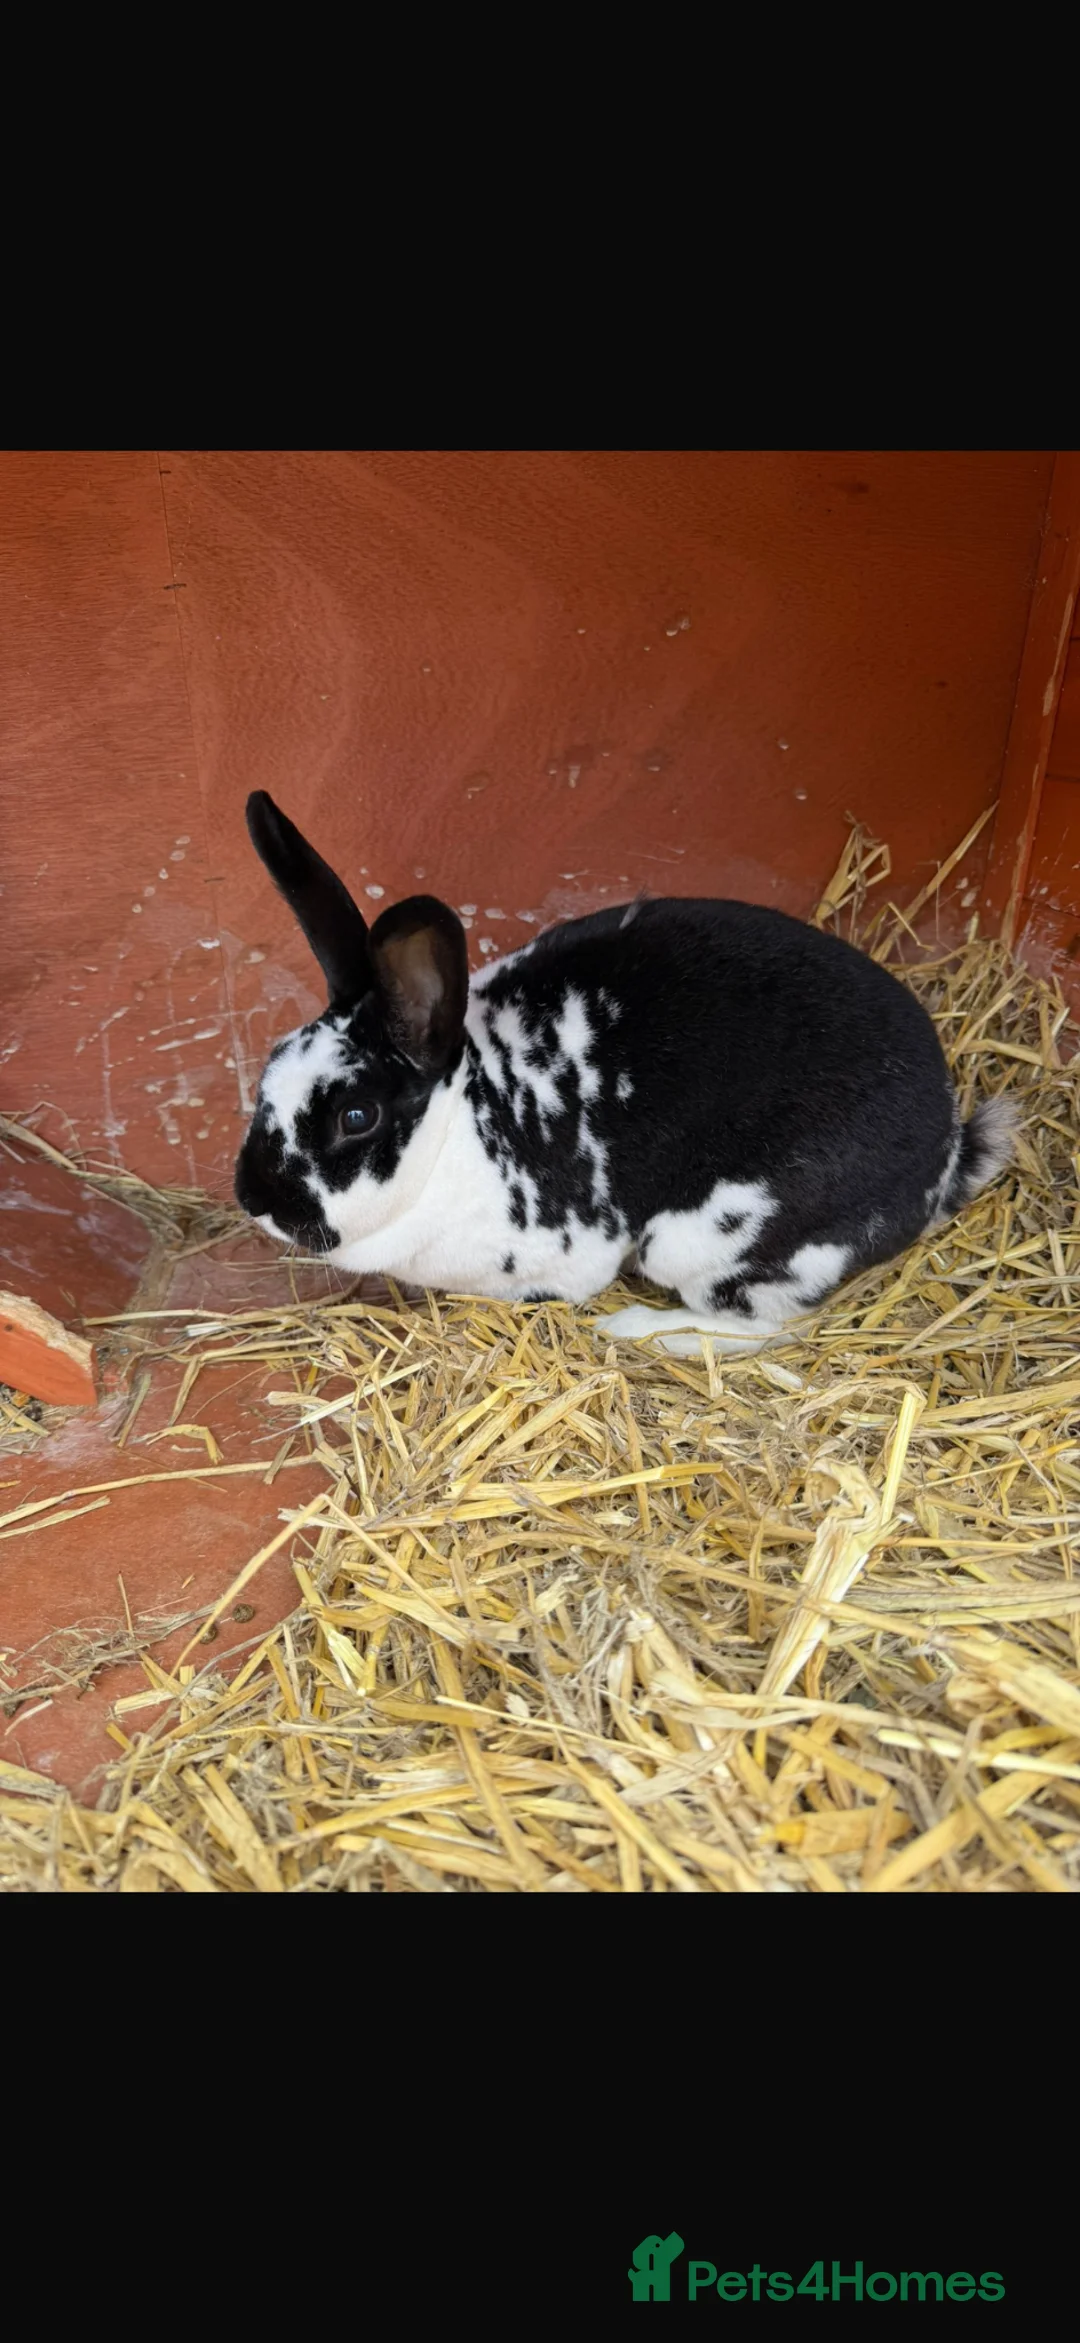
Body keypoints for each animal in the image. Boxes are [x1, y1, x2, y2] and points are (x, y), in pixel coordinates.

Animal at [234, 791, 1016, 1359]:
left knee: (766, 1327)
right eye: (269, 1066)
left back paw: (637, 1330)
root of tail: (945, 1153)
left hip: (710, 1242)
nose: (253, 1198)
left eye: (356, 1116)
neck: (463, 1125)